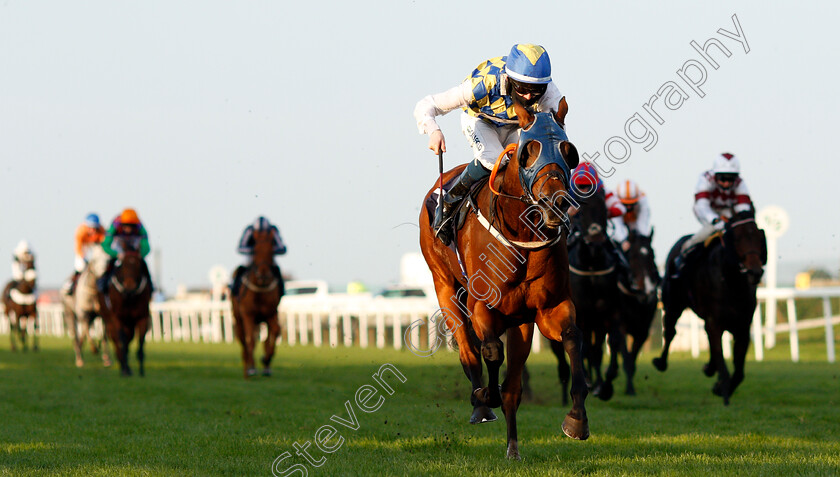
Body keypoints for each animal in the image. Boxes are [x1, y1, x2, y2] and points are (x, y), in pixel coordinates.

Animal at [102, 240, 153, 378]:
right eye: (123, 265)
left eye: (138, 265)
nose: (129, 287)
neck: (130, 297)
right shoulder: (118, 318)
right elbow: (122, 342)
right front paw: (124, 370)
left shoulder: (142, 317)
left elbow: (140, 345)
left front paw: (141, 372)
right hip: (109, 320)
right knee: (116, 341)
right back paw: (122, 366)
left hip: (129, 324)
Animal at [231, 229, 284, 378]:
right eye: (255, 250)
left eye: (271, 251)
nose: (263, 275)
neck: (260, 288)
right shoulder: (248, 315)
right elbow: (250, 340)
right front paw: (251, 368)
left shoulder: (271, 313)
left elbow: (275, 332)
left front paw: (266, 360)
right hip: (238, 318)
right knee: (244, 340)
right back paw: (247, 367)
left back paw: (265, 367)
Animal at [552, 190, 624, 402]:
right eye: (582, 213)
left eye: (604, 211)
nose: (596, 239)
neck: (591, 264)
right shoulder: (581, 313)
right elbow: (581, 348)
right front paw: (589, 382)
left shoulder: (610, 311)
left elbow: (612, 342)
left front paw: (605, 385)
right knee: (562, 355)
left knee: (595, 350)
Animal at [652, 208, 764, 402]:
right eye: (737, 238)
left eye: (758, 236)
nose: (755, 272)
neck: (732, 283)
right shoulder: (715, 321)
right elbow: (723, 365)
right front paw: (721, 386)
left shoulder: (742, 327)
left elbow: (739, 372)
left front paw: (719, 386)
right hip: (672, 304)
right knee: (671, 331)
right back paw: (661, 362)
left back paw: (710, 368)